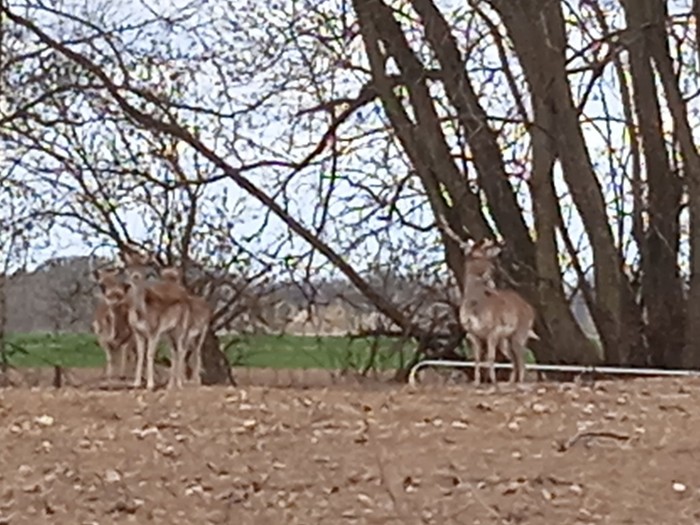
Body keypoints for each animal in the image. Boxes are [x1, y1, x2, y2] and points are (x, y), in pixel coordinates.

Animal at [120, 249, 192, 390]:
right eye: (127, 269)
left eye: (139, 273)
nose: (127, 284)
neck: (141, 313)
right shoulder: (138, 332)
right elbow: (140, 355)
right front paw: (136, 383)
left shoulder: (154, 331)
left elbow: (150, 354)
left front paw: (150, 385)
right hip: (168, 332)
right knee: (173, 352)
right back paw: (170, 385)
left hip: (181, 327)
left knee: (181, 350)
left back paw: (180, 384)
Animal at [439, 217, 538, 386]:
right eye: (473, 256)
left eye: (482, 255)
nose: (490, 269)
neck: (475, 306)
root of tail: (530, 308)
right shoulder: (472, 333)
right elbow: (478, 359)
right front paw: (477, 382)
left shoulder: (493, 330)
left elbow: (490, 358)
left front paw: (493, 381)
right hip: (506, 339)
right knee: (513, 358)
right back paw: (511, 382)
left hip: (520, 332)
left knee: (522, 358)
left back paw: (520, 382)